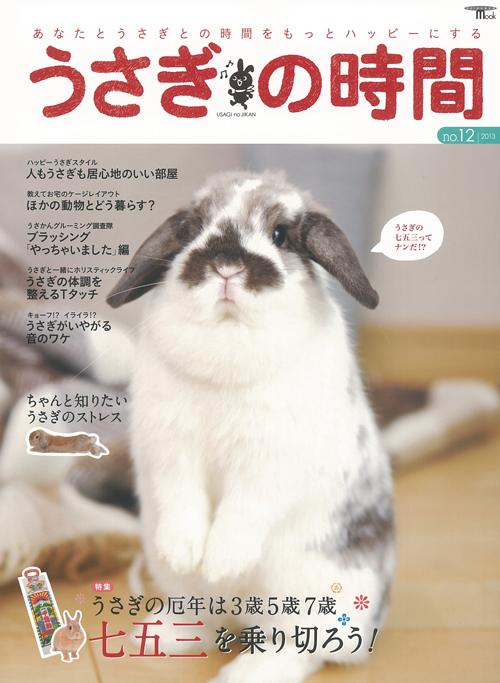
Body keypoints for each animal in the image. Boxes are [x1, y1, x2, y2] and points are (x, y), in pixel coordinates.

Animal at [107, 171, 394, 683]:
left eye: (280, 234)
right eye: (192, 229)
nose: (226, 266)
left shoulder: (269, 460)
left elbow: (244, 510)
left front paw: (221, 561)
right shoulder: (170, 446)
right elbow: (182, 499)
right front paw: (188, 552)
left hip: (315, 591)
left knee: (301, 645)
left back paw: (247, 670)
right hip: (182, 587)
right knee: (203, 617)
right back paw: (158, 636)